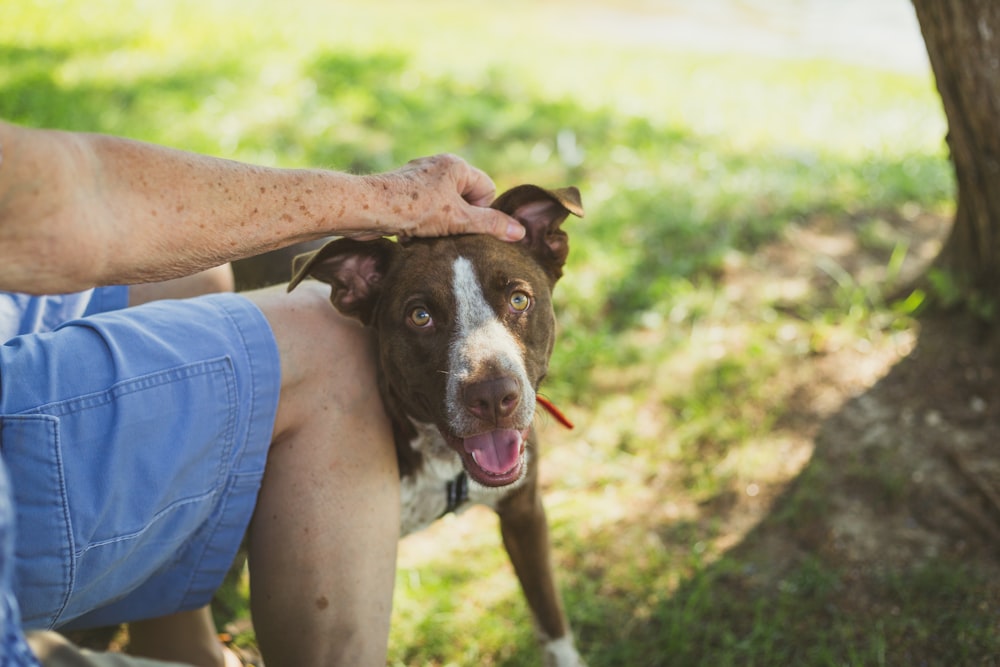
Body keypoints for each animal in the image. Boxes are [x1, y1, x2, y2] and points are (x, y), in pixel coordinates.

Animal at [286, 184, 584, 667]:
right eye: (420, 316)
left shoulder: (525, 514)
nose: (493, 396)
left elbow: (550, 617)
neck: (444, 464)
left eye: (519, 299)